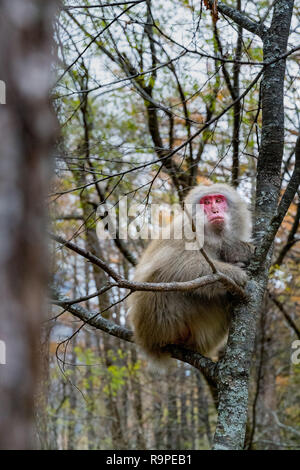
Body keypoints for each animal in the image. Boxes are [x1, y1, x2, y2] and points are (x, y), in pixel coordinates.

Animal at [127, 182, 252, 362]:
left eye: (218, 200)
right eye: (206, 202)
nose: (215, 211)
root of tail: (147, 342)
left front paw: (240, 252)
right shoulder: (185, 231)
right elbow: (179, 264)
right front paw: (235, 274)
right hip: (167, 318)